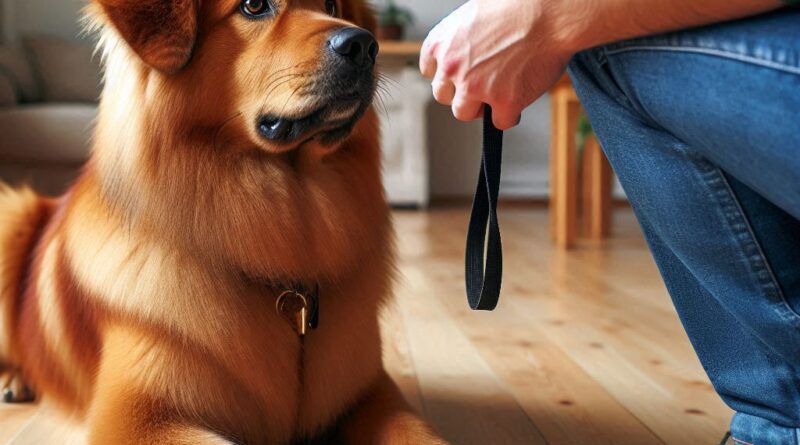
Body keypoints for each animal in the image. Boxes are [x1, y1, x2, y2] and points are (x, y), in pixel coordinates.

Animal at [0, 1, 450, 442]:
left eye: (333, 5)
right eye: (254, 5)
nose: (364, 46)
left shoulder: (371, 393)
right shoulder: (134, 419)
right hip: (12, 213)